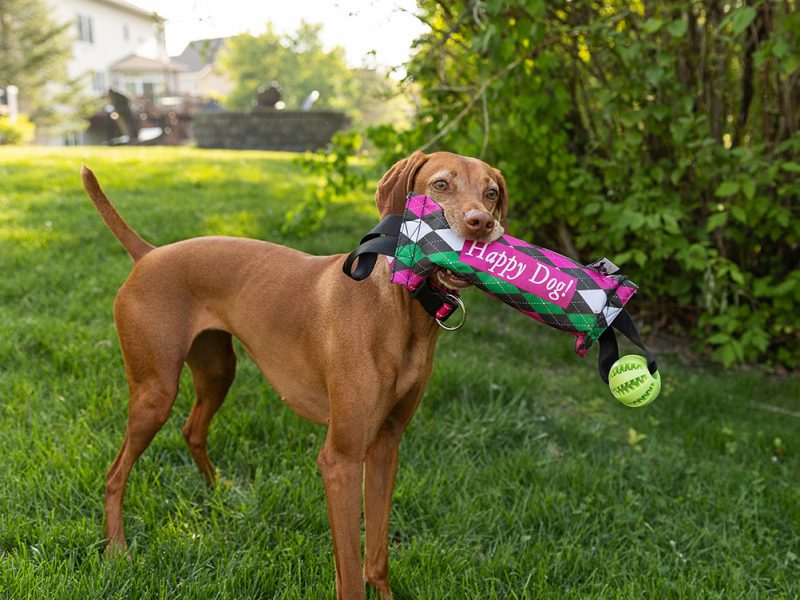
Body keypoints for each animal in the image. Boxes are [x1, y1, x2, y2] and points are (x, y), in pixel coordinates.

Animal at [81, 151, 506, 600]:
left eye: (491, 193)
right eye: (441, 185)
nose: (481, 224)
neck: (399, 310)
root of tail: (148, 253)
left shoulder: (385, 447)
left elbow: (376, 554)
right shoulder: (340, 460)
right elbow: (350, 572)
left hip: (218, 372)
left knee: (192, 430)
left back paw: (217, 493)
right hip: (155, 393)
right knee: (115, 474)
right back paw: (117, 550)